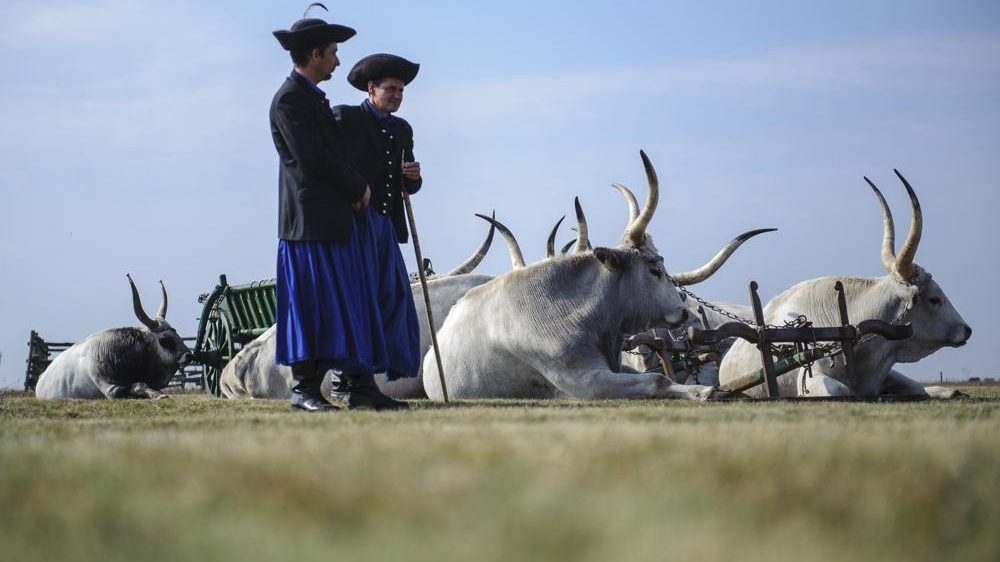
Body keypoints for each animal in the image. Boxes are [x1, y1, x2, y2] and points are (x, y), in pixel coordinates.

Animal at [34, 274, 191, 398]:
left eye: (176, 332)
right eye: (164, 340)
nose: (189, 355)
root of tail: (41, 380)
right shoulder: (111, 389)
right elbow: (139, 385)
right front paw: (158, 395)